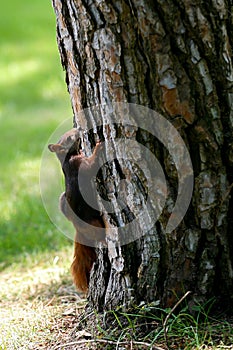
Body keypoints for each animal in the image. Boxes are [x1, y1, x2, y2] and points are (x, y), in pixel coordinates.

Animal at [48, 129, 106, 292]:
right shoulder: (78, 165)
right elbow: (91, 166)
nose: (79, 129)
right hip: (91, 223)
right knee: (98, 235)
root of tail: (78, 228)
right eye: (68, 138)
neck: (67, 158)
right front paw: (98, 147)